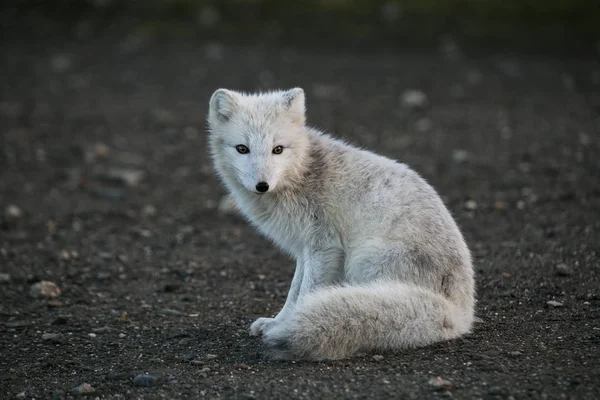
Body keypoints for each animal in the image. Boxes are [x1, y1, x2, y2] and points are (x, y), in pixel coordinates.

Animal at [209, 88, 476, 362]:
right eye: (242, 149)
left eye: (278, 149)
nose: (262, 185)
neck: (302, 171)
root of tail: (460, 312)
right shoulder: (305, 250)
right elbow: (294, 292)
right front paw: (278, 321)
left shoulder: (324, 245)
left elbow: (305, 294)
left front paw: (289, 325)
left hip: (363, 259)